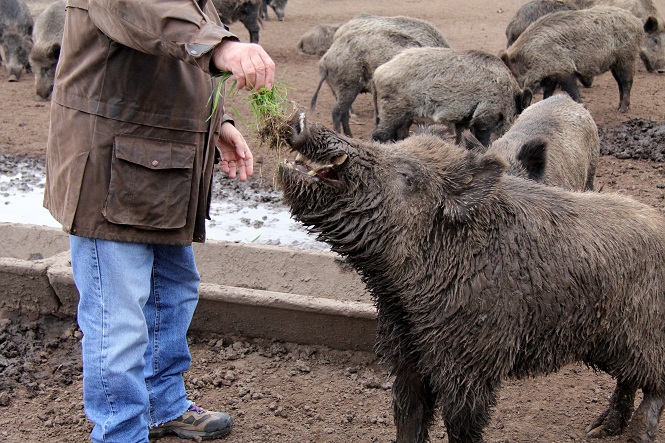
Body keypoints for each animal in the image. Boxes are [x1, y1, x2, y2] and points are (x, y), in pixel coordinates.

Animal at [278, 112, 664, 443]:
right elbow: (407, 420)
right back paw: (599, 429)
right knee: (629, 380)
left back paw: (635, 436)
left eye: (408, 175)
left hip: (644, 333)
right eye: (394, 145)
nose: (301, 121)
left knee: (656, 383)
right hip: (613, 343)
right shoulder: (405, 356)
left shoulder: (471, 365)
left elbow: (462, 427)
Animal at [370, 48, 532, 147]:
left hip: (404, 117)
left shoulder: (463, 119)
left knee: (399, 136)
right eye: (519, 114)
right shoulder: (485, 115)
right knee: (379, 135)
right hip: (394, 109)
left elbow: (460, 138)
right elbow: (482, 140)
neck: (508, 94)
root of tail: (378, 73)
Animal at [500, 5, 640, 112]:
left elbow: (573, 92)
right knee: (620, 83)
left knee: (627, 82)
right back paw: (618, 107)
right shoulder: (551, 76)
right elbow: (547, 94)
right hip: (615, 63)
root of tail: (636, 20)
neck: (531, 56)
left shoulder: (564, 70)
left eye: (514, 77)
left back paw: (622, 110)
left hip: (626, 57)